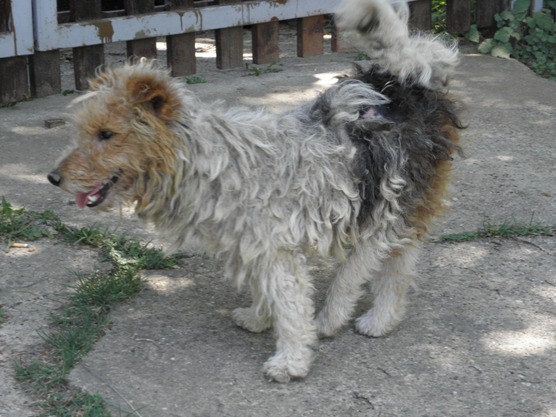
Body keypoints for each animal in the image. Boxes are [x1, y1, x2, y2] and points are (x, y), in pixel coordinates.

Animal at [47, 0, 462, 382]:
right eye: (84, 131)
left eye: (107, 134)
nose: (53, 178)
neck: (209, 160)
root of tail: (405, 85)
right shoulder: (252, 245)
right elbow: (267, 292)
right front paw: (258, 318)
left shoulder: (276, 249)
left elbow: (290, 306)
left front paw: (291, 361)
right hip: (401, 209)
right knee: (398, 267)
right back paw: (380, 320)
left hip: (381, 208)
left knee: (359, 270)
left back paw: (332, 317)